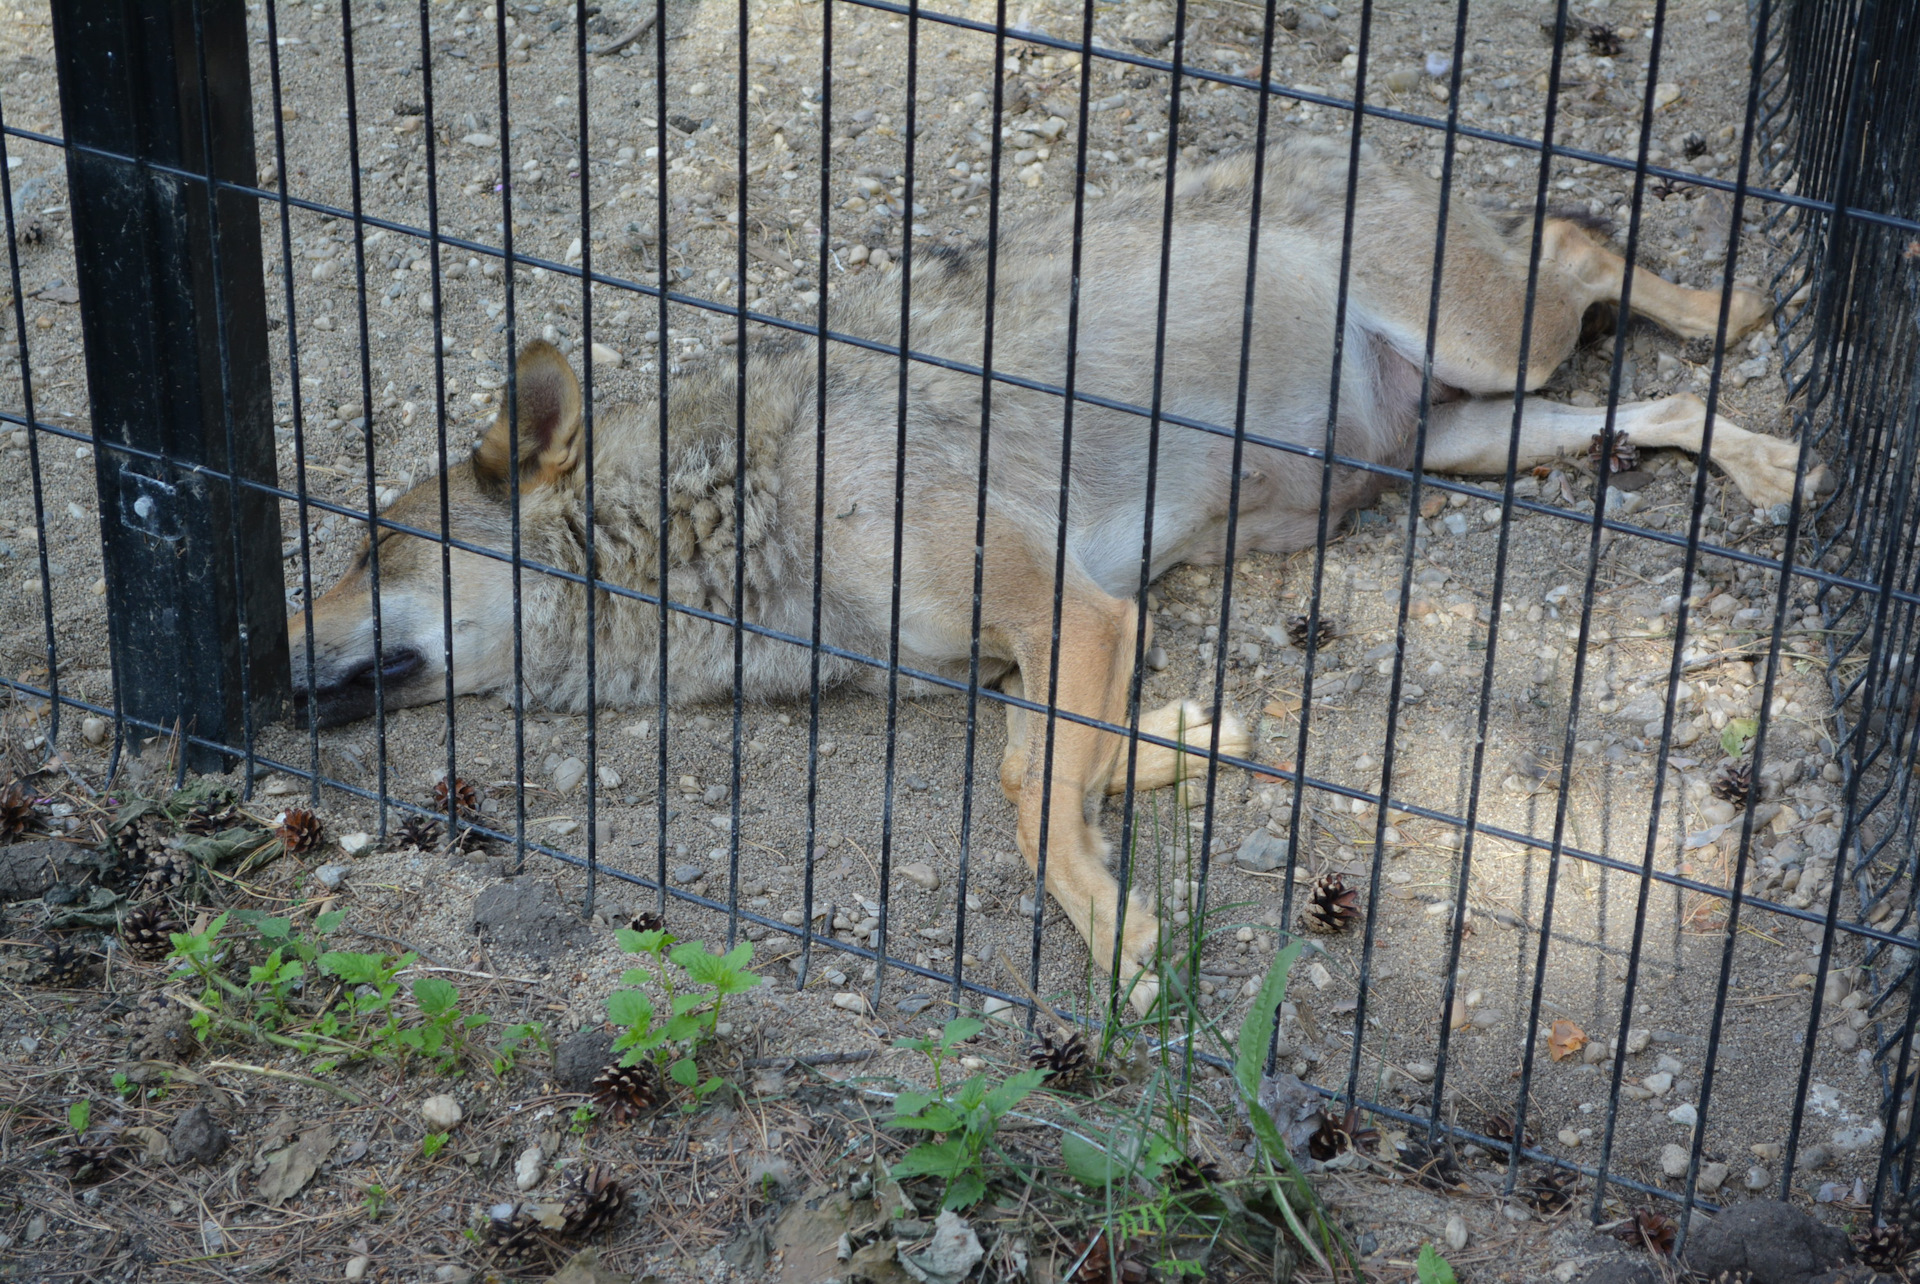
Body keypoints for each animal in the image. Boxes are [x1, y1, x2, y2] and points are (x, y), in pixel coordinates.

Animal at [288, 135, 1812, 1005]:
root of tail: (1349, 133)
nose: (264, 642)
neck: (743, 507)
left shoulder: (1069, 608)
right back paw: (1769, 460)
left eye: (368, 548)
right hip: (1482, 434)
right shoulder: (1034, 644)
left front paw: (1123, 944)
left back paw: (1742, 315)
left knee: (1579, 239)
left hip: (1499, 347)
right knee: (1645, 397)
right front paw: (1191, 740)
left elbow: (1030, 794)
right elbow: (1077, 751)